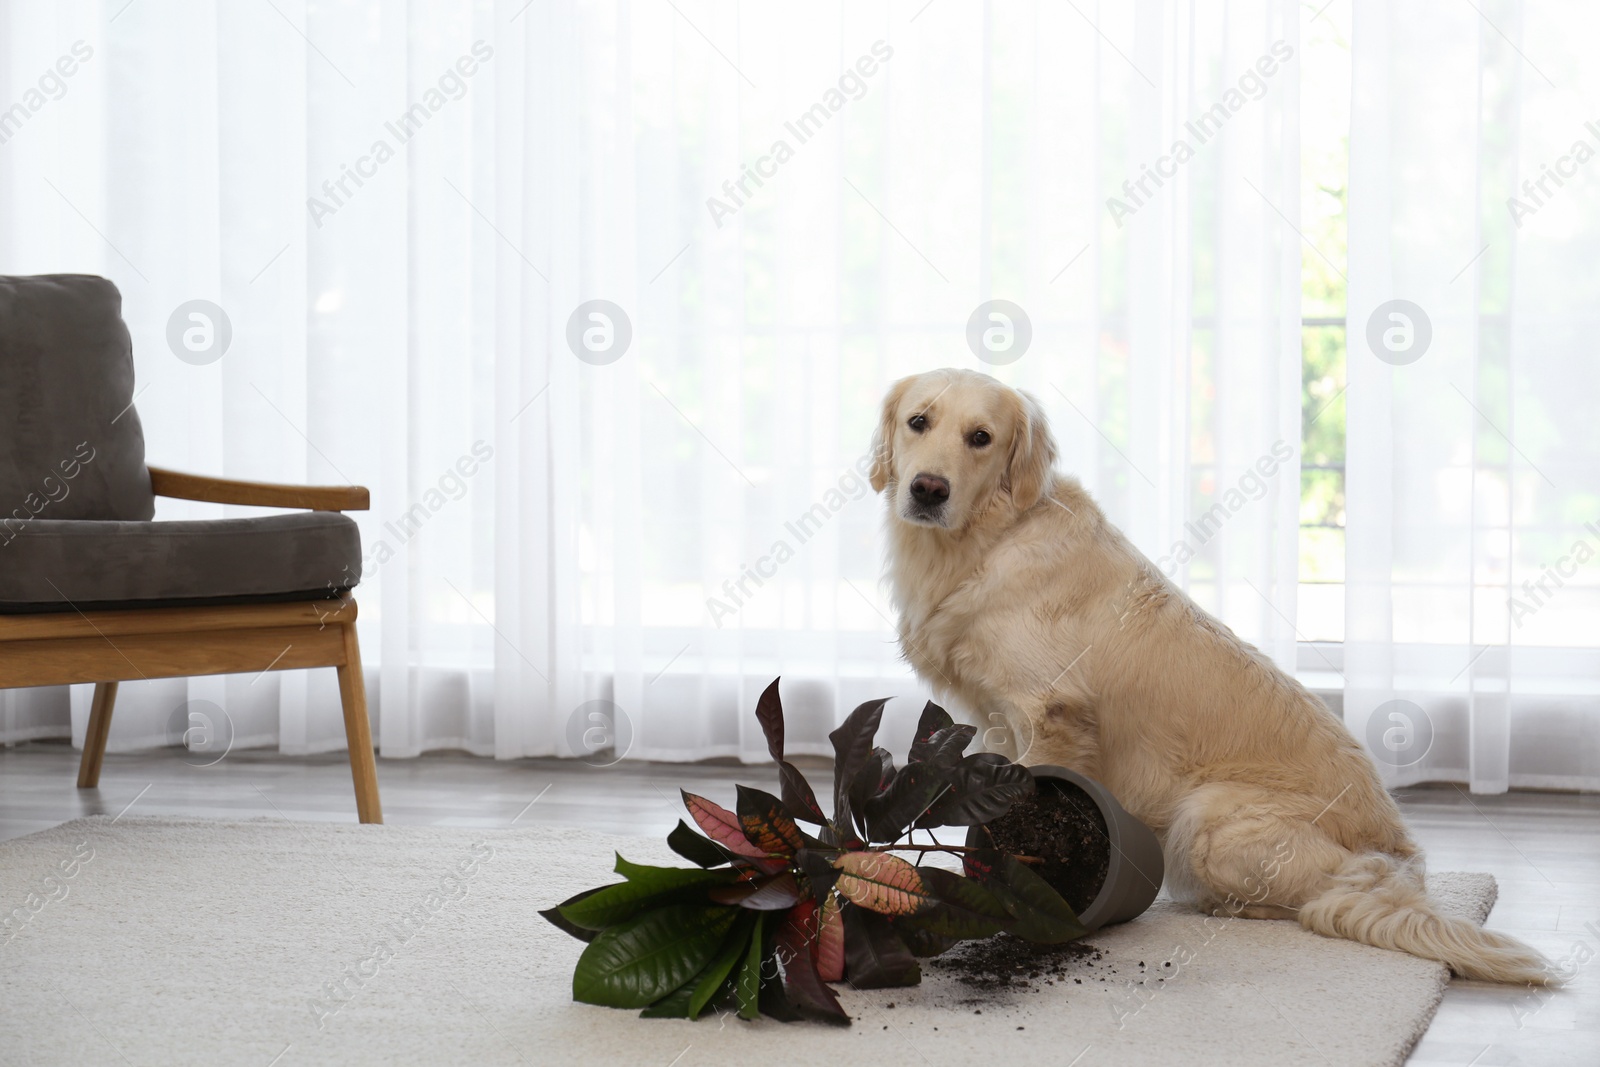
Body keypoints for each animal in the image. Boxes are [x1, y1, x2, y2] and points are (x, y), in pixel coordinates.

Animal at [876, 369, 1548, 985]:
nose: (928, 489)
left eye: (981, 437)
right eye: (918, 422)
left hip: (1206, 819)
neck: (988, 540)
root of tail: (1404, 855)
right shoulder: (998, 720)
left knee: (1321, 902)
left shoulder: (1052, 714)